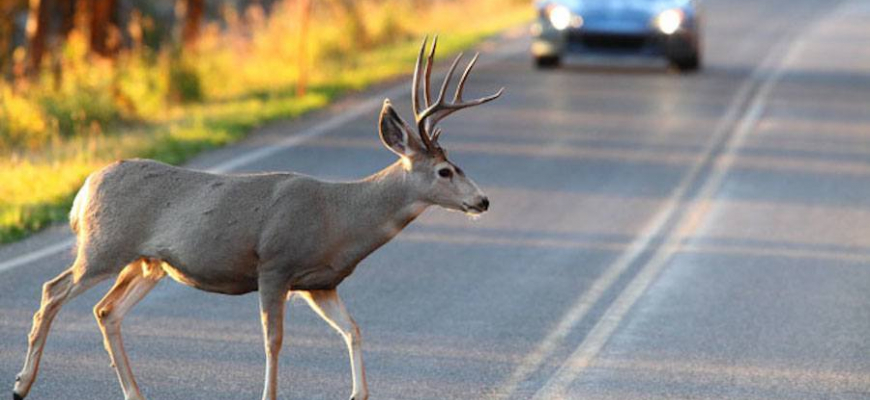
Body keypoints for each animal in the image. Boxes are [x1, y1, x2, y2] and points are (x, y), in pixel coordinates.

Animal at [10, 36, 504, 400]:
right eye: (445, 171)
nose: (482, 201)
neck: (341, 218)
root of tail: (83, 191)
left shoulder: (321, 282)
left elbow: (353, 330)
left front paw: (358, 393)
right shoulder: (275, 264)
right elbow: (273, 340)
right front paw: (270, 394)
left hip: (148, 262)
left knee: (106, 310)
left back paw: (135, 393)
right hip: (104, 245)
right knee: (52, 291)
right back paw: (21, 384)